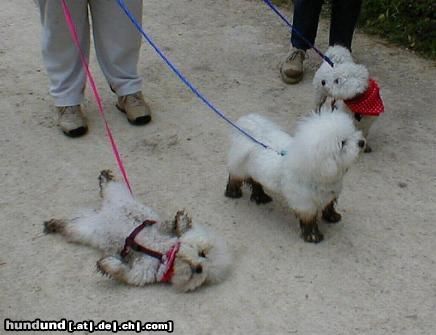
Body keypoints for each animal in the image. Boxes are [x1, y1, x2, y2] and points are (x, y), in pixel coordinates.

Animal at [43, 171, 232, 292]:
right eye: (202, 254)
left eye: (205, 275)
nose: (199, 268)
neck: (163, 255)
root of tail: (102, 211)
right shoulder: (160, 227)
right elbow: (174, 228)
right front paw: (182, 221)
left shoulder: (141, 273)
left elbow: (122, 271)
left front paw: (107, 264)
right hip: (118, 196)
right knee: (109, 186)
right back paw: (104, 177)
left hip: (84, 228)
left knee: (70, 224)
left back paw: (55, 224)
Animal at [225, 106, 364, 243]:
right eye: (343, 142)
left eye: (353, 132)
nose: (362, 142)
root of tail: (254, 132)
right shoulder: (305, 204)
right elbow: (309, 219)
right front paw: (313, 236)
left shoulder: (329, 195)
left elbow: (329, 206)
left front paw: (332, 217)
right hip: (240, 168)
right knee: (234, 177)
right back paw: (233, 193)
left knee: (256, 182)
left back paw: (261, 197)